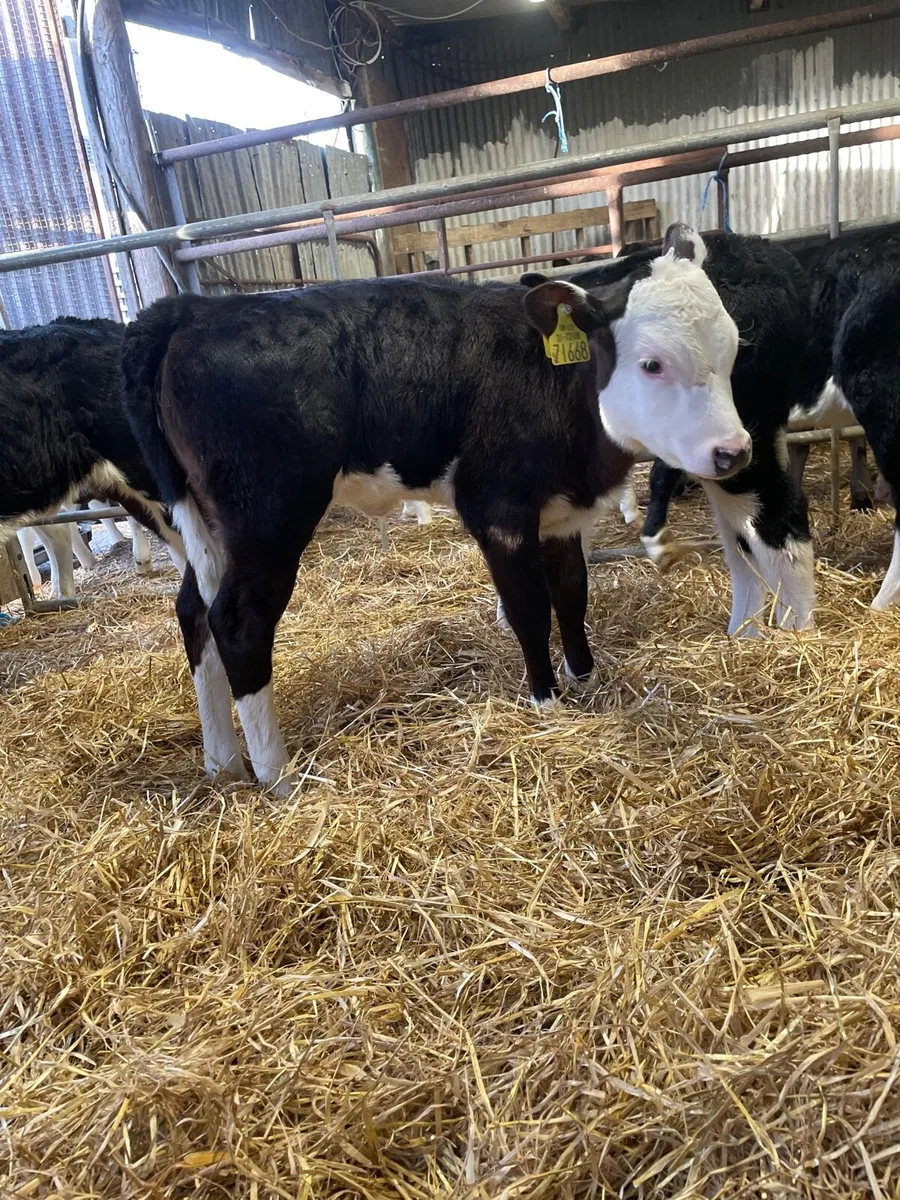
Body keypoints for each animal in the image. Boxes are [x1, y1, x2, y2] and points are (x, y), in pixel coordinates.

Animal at [121, 222, 748, 794]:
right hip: (268, 517)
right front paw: (546, 703)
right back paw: (278, 776)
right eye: (651, 364)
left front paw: (585, 680)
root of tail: (190, 310)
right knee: (236, 620)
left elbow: (572, 594)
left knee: (193, 610)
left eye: (732, 345)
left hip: (211, 524)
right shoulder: (498, 509)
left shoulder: (560, 515)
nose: (734, 451)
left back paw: (222, 763)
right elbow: (529, 608)